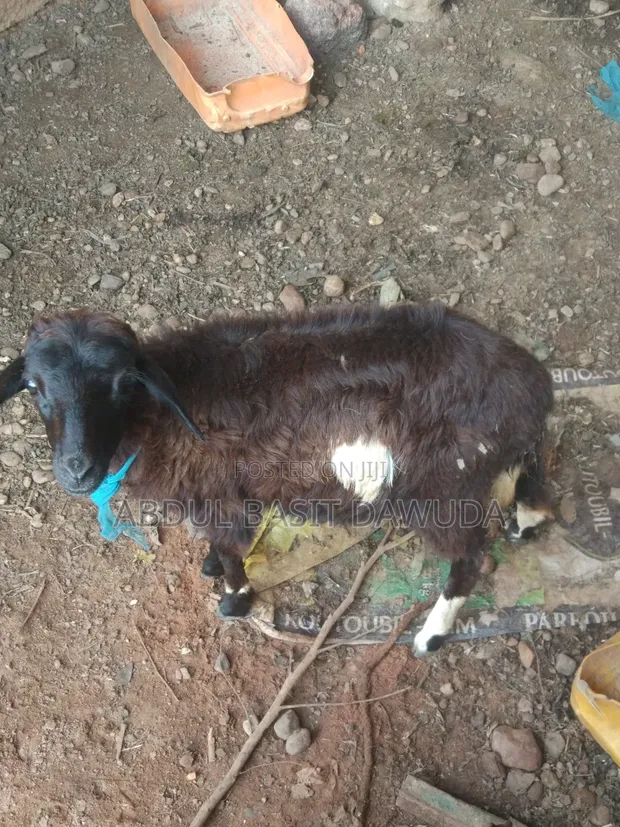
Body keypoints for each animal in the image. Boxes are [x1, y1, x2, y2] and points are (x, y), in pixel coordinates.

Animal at [0, 302, 554, 654]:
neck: (160, 417)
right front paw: (209, 567)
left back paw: (429, 637)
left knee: (471, 555)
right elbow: (217, 547)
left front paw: (234, 600)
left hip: (442, 488)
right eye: (34, 386)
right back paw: (527, 520)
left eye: (122, 384)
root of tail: (534, 385)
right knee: (528, 467)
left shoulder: (223, 495)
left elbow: (232, 550)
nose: (76, 469)